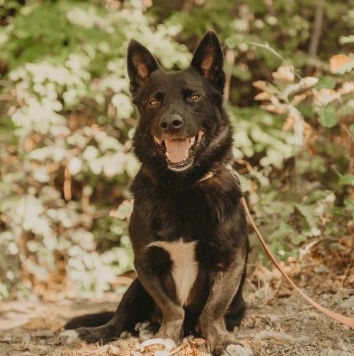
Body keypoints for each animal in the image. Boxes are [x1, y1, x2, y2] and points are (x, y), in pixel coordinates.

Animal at [65, 32, 250, 354]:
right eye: (153, 101)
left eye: (194, 97)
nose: (171, 123)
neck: (182, 186)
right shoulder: (145, 264)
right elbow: (171, 308)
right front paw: (165, 337)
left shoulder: (229, 260)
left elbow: (212, 310)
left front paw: (222, 341)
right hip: (134, 288)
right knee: (118, 320)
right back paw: (97, 332)